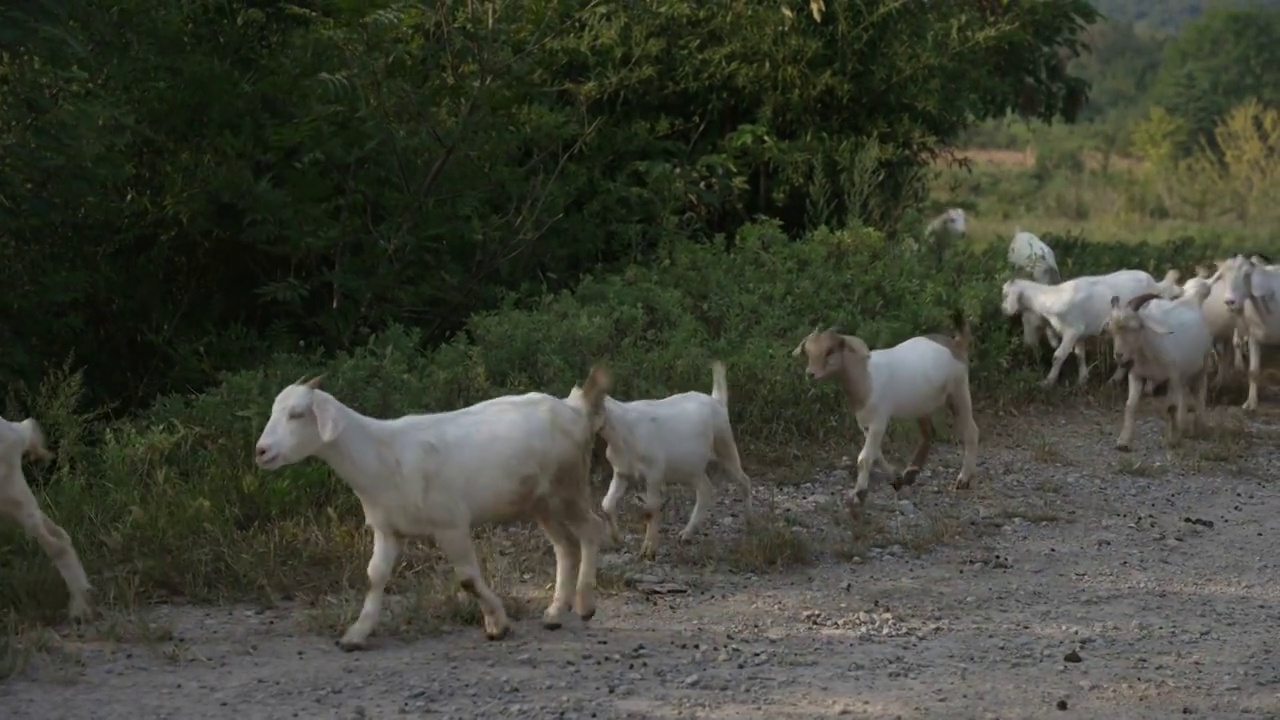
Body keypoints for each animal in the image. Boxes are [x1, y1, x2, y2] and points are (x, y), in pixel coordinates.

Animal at [256, 368, 614, 650]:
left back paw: (584, 604)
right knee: (566, 546)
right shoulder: (388, 528)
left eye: (297, 414)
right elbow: (375, 576)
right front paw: (356, 634)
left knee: (592, 529)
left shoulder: (451, 524)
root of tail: (575, 408)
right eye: (274, 410)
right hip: (541, 502)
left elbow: (467, 579)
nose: (261, 451)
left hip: (568, 487)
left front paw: (497, 624)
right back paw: (554, 613)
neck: (383, 454)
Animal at [586, 361, 752, 558]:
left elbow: (651, 509)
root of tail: (717, 401)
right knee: (705, 489)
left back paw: (750, 523)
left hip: (725, 445)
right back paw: (686, 534)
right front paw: (616, 539)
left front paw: (648, 549)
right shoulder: (621, 472)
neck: (622, 430)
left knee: (744, 480)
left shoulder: (654, 473)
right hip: (689, 468)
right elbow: (607, 504)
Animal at [788, 311, 977, 507]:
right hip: (923, 403)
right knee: (928, 433)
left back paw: (963, 479)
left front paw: (859, 495)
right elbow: (876, 453)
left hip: (958, 390)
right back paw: (911, 473)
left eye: (830, 351)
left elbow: (864, 458)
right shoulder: (864, 422)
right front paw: (895, 478)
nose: (810, 373)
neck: (865, 375)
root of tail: (956, 343)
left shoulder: (879, 419)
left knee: (971, 431)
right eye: (808, 352)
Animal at [998, 267, 1177, 386]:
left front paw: (1048, 381)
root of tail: (1156, 284)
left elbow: (1058, 356)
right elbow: (1079, 355)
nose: (1004, 309)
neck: (1055, 298)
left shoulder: (1072, 330)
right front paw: (1083, 379)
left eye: (1006, 295)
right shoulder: (1079, 333)